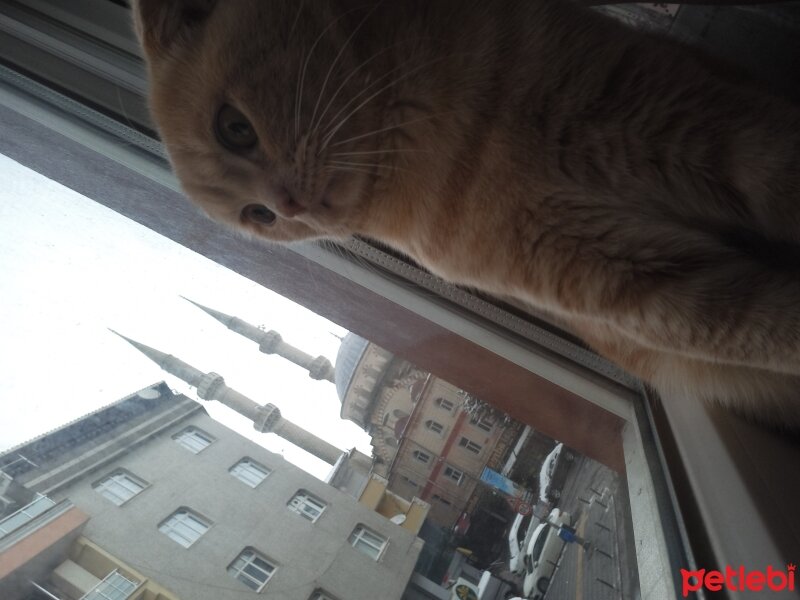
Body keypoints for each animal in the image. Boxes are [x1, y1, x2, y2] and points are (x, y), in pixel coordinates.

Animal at [131, 1, 800, 432]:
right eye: (259, 217)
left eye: (235, 129)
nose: (288, 205)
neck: (453, 147)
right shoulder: (631, 281)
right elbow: (758, 324)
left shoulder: (704, 126)